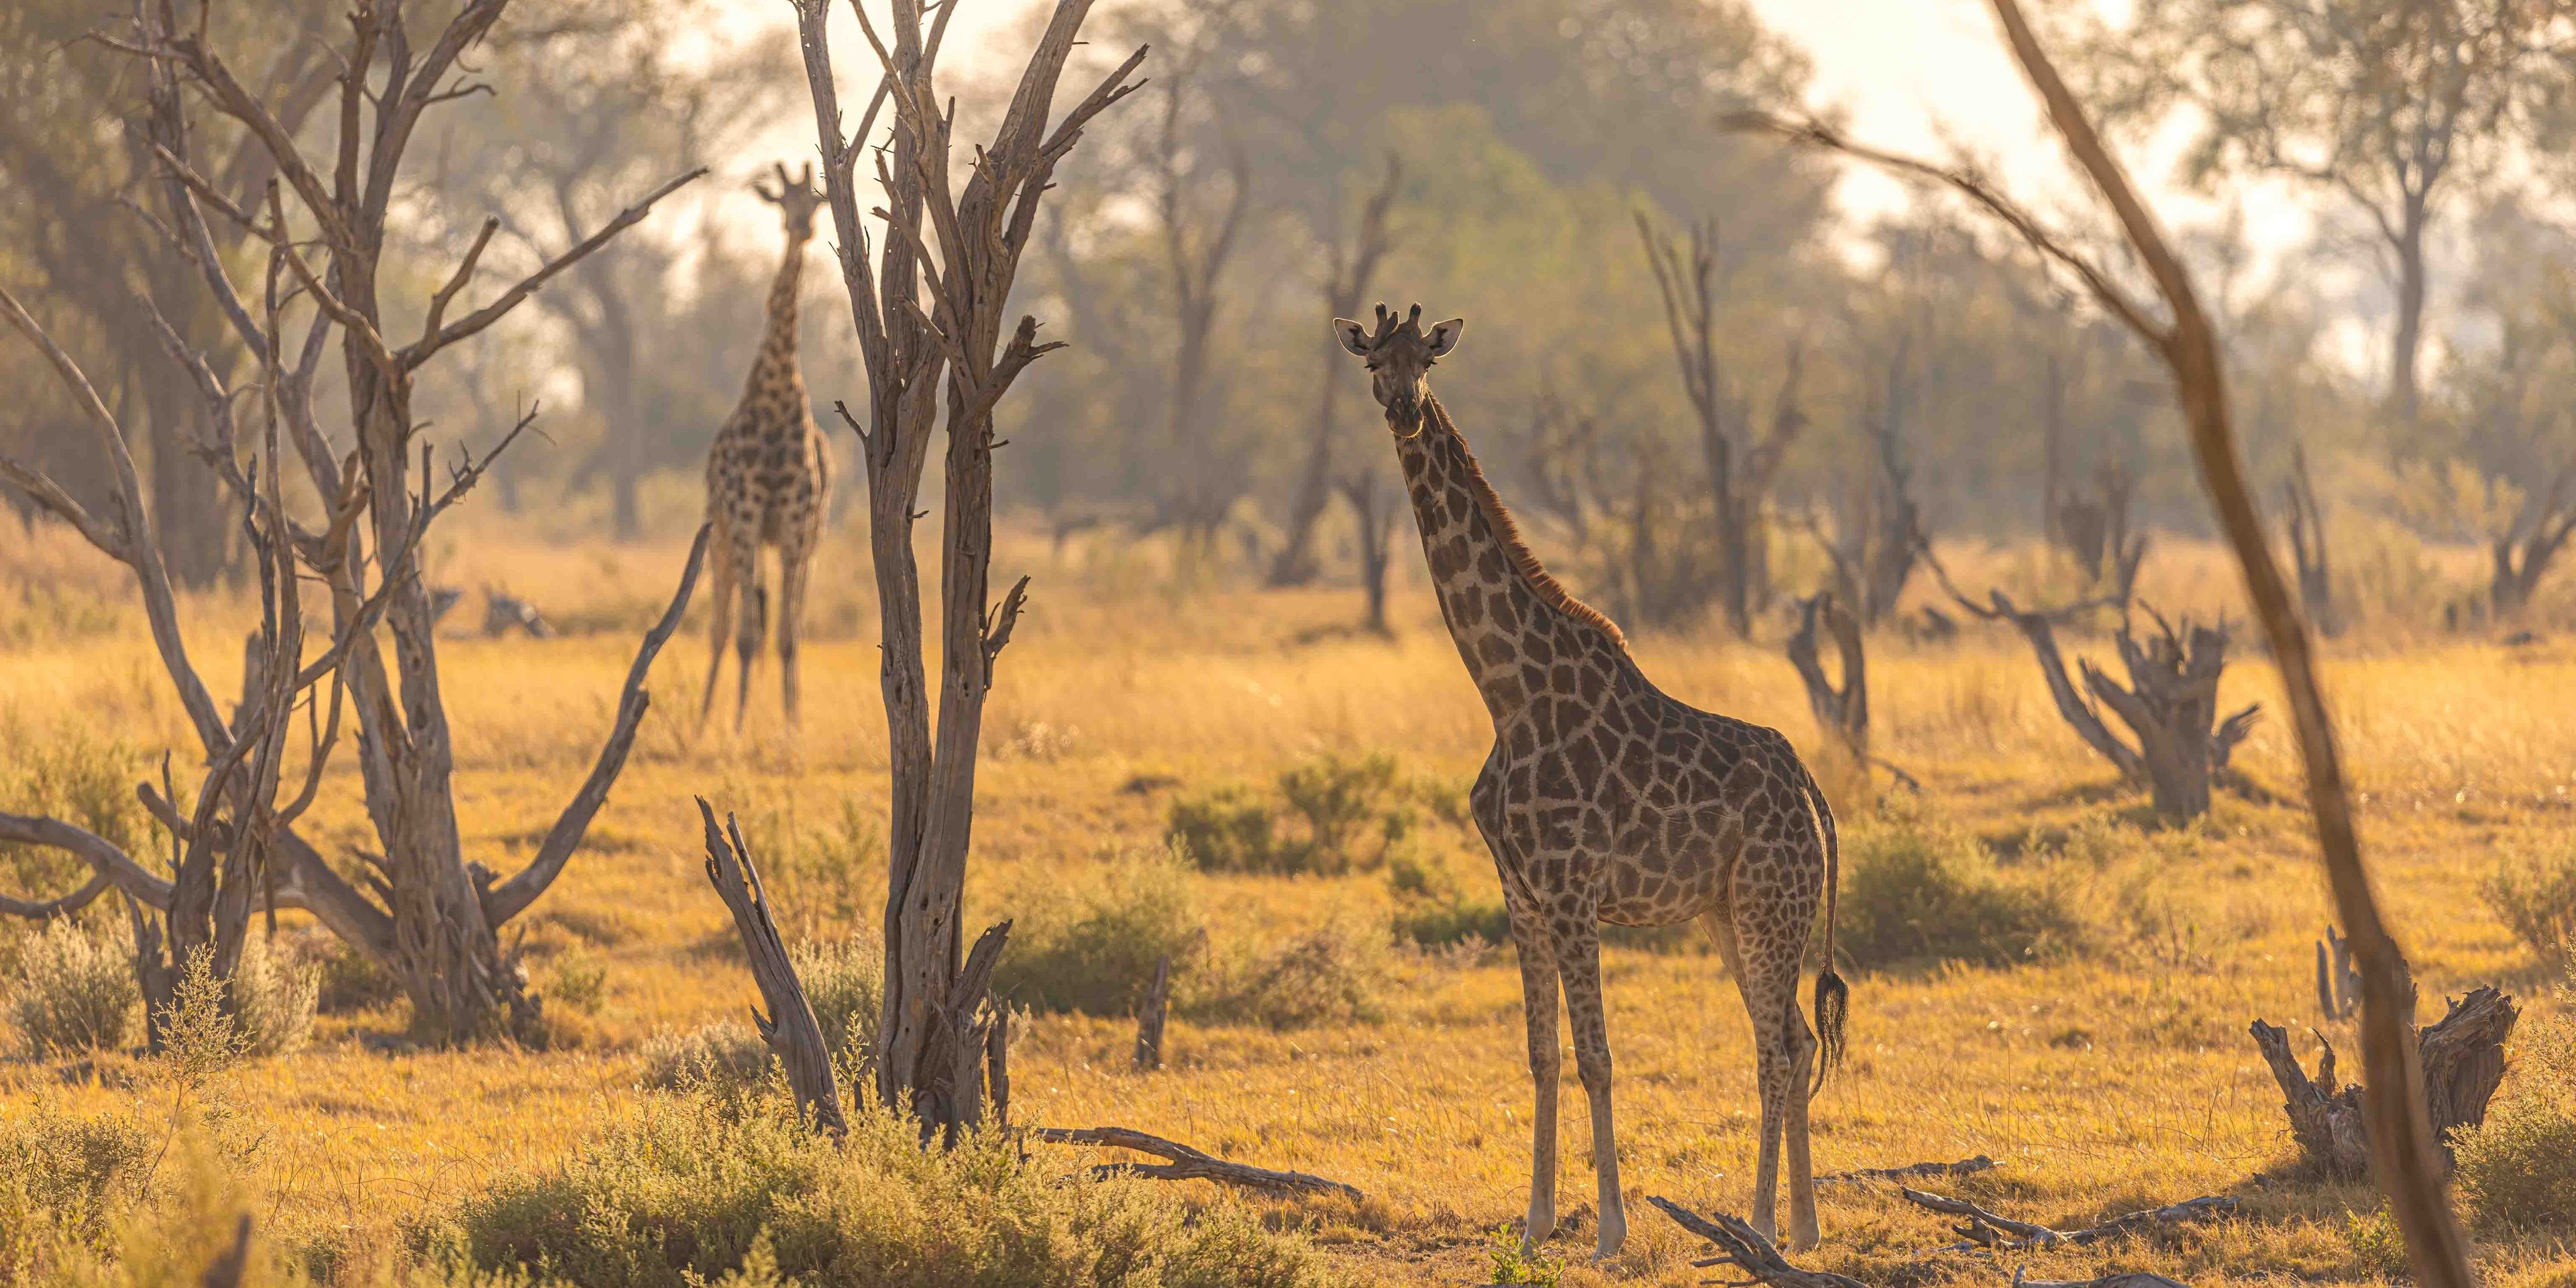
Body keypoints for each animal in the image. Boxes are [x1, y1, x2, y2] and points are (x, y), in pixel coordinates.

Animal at [1333, 304, 1849, 1257]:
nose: (1404, 410)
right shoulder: (1521, 890)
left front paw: (1609, 1227)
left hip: (1771, 903)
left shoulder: (1572, 887)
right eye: (1374, 362)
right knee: (1795, 1037)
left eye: (1427, 361)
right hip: (1729, 911)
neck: (1507, 693)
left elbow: (1597, 1056)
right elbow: (1542, 1054)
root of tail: (1810, 791)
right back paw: (1802, 1225)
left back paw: (1761, 1222)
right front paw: (1535, 1222)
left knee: (1775, 1045)